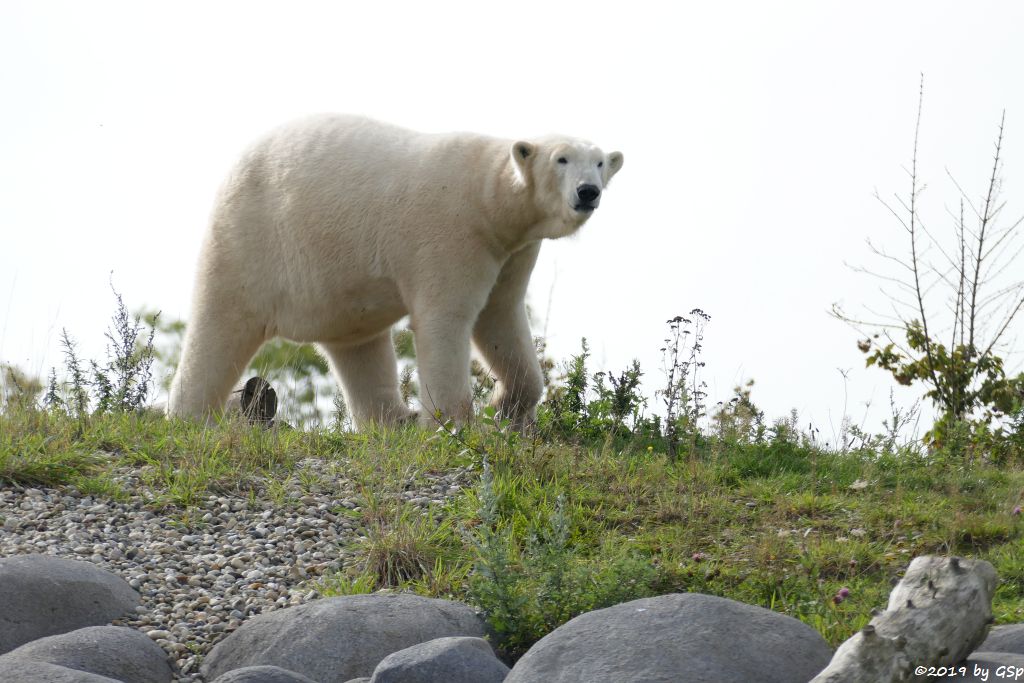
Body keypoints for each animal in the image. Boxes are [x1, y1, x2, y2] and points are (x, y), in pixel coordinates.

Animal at [165, 115, 622, 430]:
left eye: (601, 162)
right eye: (562, 158)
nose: (587, 192)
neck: (487, 196)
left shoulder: (511, 250)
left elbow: (502, 316)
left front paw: (505, 406)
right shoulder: (450, 232)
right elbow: (446, 318)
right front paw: (451, 422)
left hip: (335, 280)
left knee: (359, 348)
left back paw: (395, 420)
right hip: (250, 238)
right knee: (221, 321)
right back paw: (190, 416)